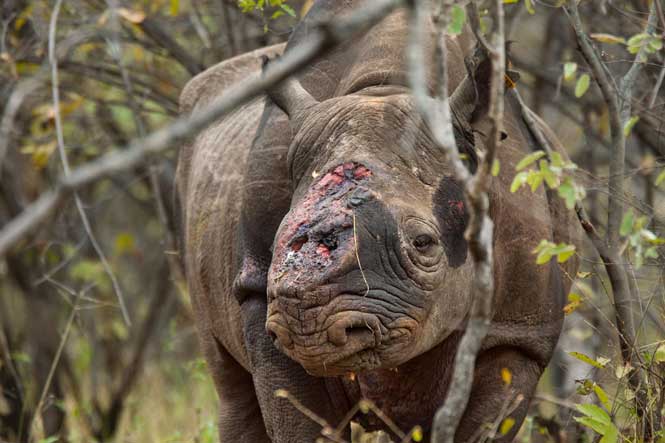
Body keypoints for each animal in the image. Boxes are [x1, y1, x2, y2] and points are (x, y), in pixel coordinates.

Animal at [174, 1, 580, 442]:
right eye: (279, 238)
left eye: (423, 244)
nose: (307, 325)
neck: (385, 87)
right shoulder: (258, 296)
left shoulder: (519, 333)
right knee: (233, 390)